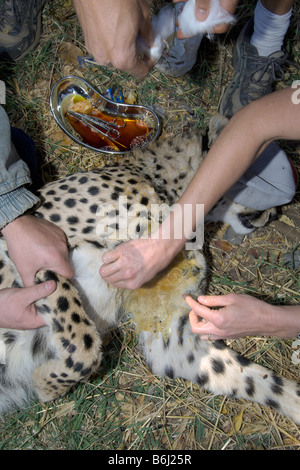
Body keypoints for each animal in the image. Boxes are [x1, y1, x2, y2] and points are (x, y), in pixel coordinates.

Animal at [0, 126, 300, 426]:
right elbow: (84, 343)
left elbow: (251, 377)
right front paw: (46, 384)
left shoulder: (172, 331)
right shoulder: (36, 243)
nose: (276, 215)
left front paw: (295, 400)